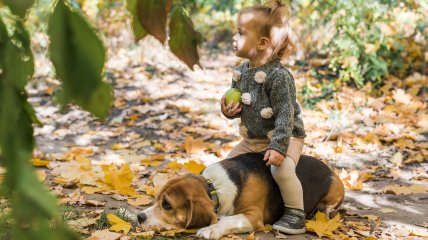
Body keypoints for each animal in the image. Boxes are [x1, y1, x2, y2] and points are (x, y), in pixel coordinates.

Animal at [137, 153, 344, 239]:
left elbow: (228, 220)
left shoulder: (253, 216)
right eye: (157, 199)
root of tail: (331, 170)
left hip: (334, 192)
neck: (214, 188)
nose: (139, 217)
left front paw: (211, 229)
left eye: (167, 205)